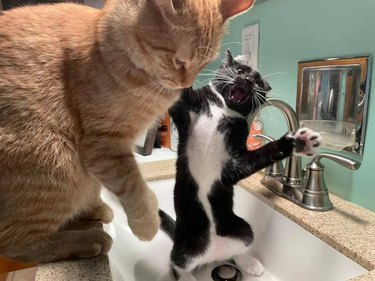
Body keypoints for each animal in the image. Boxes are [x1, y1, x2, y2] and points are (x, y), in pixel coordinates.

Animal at [0, 0, 256, 262]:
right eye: (179, 61)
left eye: (204, 64)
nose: (186, 85)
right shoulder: (103, 145)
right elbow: (133, 185)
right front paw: (148, 222)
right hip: (56, 163)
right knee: (16, 245)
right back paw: (88, 240)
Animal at [159, 50, 324, 280]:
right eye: (239, 70)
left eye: (258, 82)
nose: (247, 80)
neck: (223, 110)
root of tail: (211, 255)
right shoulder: (184, 111)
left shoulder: (232, 166)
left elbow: (260, 155)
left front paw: (298, 141)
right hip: (186, 243)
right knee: (177, 263)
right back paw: (187, 276)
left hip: (241, 228)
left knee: (237, 248)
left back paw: (249, 262)